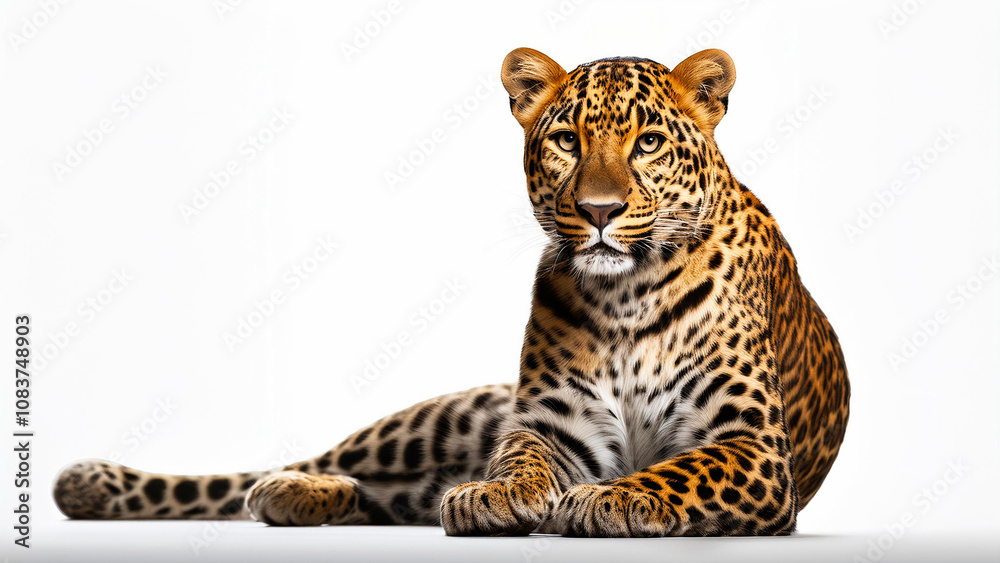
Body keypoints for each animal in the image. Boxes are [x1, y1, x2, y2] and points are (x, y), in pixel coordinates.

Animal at [53, 47, 849, 537]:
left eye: (648, 142)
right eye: (566, 140)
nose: (599, 211)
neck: (626, 294)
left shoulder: (751, 445)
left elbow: (679, 470)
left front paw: (609, 497)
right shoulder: (549, 424)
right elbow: (520, 458)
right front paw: (496, 493)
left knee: (378, 498)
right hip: (436, 420)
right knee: (295, 466)